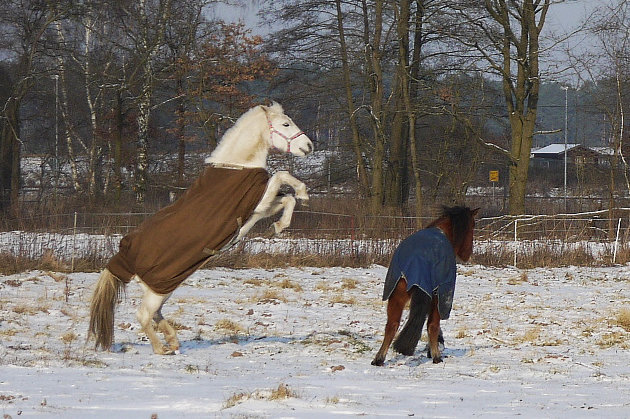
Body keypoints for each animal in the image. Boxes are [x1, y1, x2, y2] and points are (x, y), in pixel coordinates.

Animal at [87, 101, 314, 354]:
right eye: (285, 124)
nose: (309, 146)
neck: (238, 166)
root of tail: (122, 257)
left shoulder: (260, 208)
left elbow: (287, 199)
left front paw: (279, 226)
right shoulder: (259, 200)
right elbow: (282, 176)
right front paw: (302, 195)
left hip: (162, 288)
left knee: (155, 313)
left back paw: (173, 340)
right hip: (159, 289)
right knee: (144, 315)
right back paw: (162, 349)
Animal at [370, 207, 478, 368]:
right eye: (473, 224)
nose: (468, 253)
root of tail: (417, 259)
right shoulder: (440, 294)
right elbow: (432, 324)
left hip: (397, 294)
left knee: (391, 325)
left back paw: (379, 359)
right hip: (436, 295)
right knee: (432, 325)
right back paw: (437, 357)